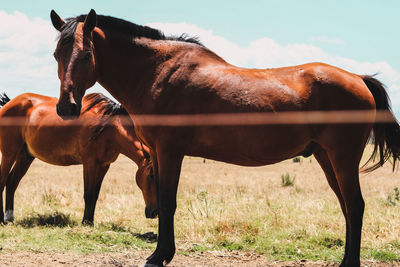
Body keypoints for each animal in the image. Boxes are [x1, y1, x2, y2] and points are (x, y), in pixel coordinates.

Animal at [0, 92, 158, 226]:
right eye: (151, 175)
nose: (154, 212)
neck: (109, 128)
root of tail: (8, 104)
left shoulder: (103, 165)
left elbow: (95, 194)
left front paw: (90, 221)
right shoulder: (89, 163)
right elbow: (88, 194)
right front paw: (85, 222)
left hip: (25, 157)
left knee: (12, 182)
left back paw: (10, 218)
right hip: (9, 154)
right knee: (3, 181)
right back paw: (2, 219)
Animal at [50, 9, 400, 266]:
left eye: (85, 55)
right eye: (56, 54)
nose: (67, 107)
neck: (157, 72)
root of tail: (360, 79)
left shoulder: (169, 151)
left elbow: (168, 201)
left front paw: (160, 256)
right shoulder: (160, 154)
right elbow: (164, 200)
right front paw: (162, 252)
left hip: (342, 158)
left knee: (355, 206)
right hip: (327, 158)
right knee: (346, 206)